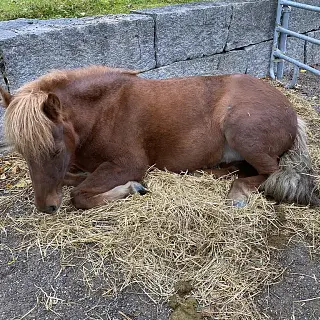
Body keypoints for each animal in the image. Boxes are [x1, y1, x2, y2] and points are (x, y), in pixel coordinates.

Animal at [0, 65, 318, 212]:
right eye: (24, 154)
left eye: (54, 150)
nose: (47, 207)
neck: (103, 111)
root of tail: (292, 112)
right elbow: (72, 179)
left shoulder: (128, 164)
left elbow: (79, 195)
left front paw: (131, 188)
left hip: (241, 130)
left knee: (271, 171)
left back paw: (237, 194)